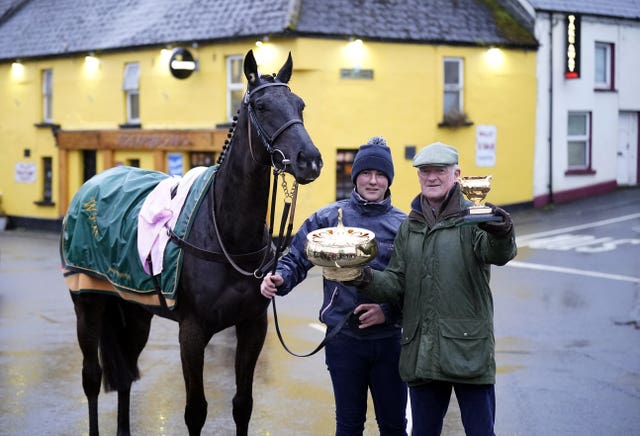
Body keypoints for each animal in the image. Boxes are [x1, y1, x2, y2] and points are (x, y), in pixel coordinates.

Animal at [64, 49, 322, 434]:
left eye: (300, 104)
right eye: (261, 106)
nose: (311, 160)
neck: (227, 236)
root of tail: (91, 186)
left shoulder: (253, 326)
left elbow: (243, 405)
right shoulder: (192, 333)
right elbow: (196, 411)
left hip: (135, 310)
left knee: (125, 375)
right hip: (87, 303)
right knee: (91, 378)